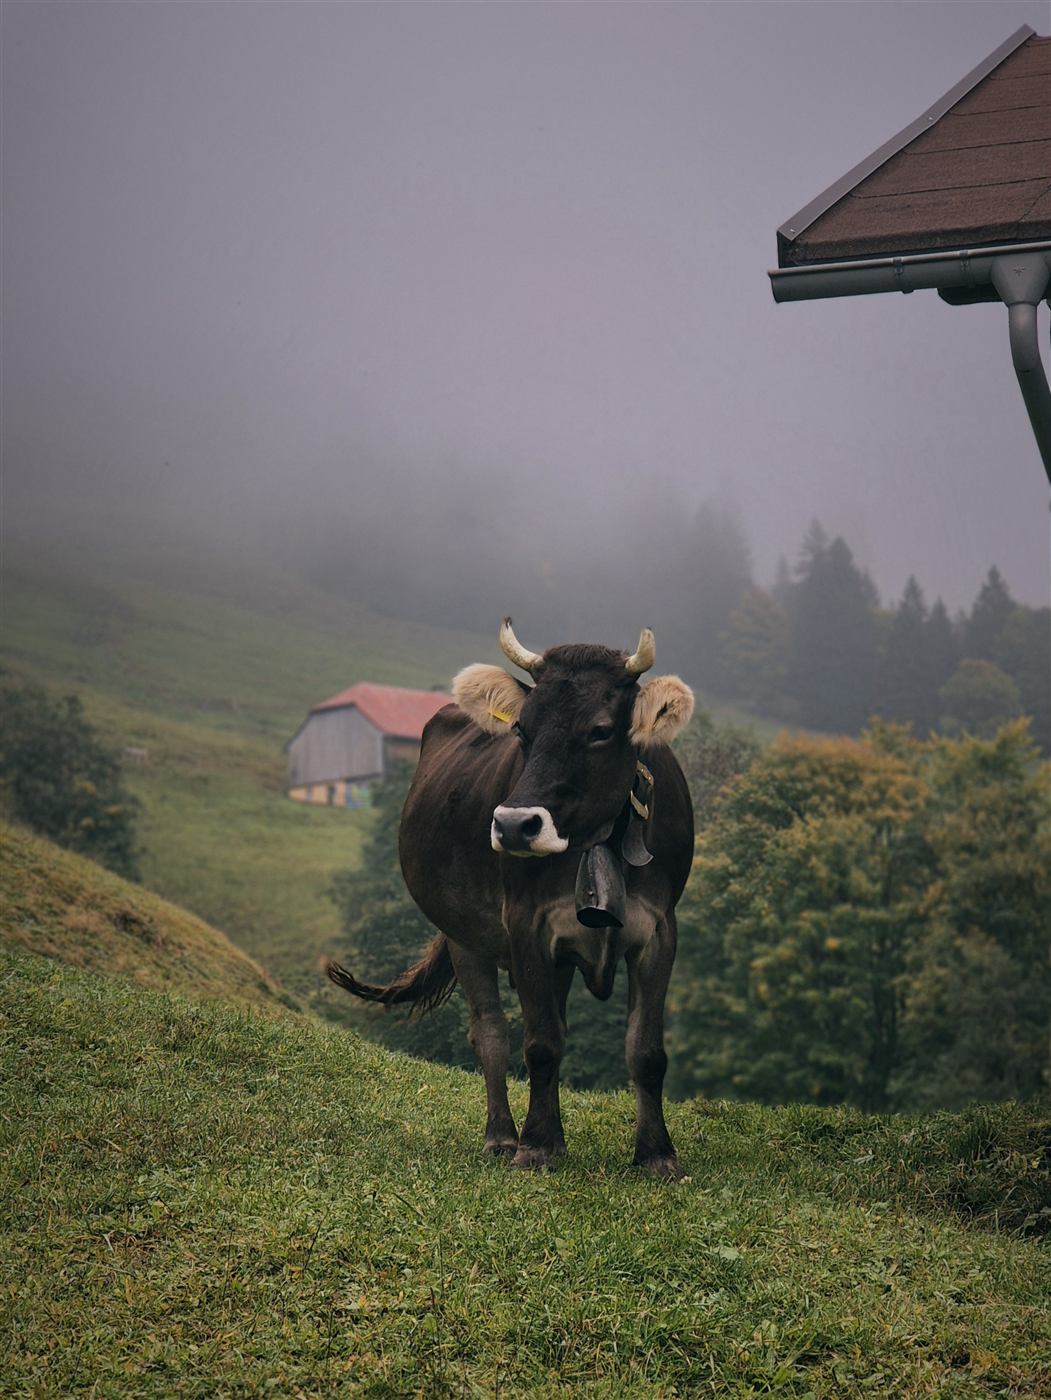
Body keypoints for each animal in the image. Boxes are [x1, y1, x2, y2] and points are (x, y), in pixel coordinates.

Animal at [327, 619, 694, 1176]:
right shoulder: (527, 925)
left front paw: (656, 1153)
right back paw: (502, 1136)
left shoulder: (658, 930)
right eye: (522, 729)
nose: (515, 825)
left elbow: (645, 1050)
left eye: (601, 730)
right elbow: (539, 1043)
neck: (597, 839)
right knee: (492, 1034)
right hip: (464, 936)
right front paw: (537, 1144)